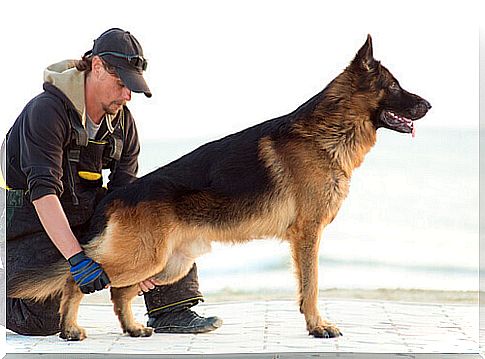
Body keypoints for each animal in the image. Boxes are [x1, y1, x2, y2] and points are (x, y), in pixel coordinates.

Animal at [8, 35, 432, 342]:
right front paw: (317, 326)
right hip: (144, 258)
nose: (428, 104)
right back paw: (70, 327)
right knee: (79, 276)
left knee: (118, 291)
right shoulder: (308, 234)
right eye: (395, 87)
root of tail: (116, 196)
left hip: (166, 263)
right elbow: (310, 286)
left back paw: (131, 327)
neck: (329, 131)